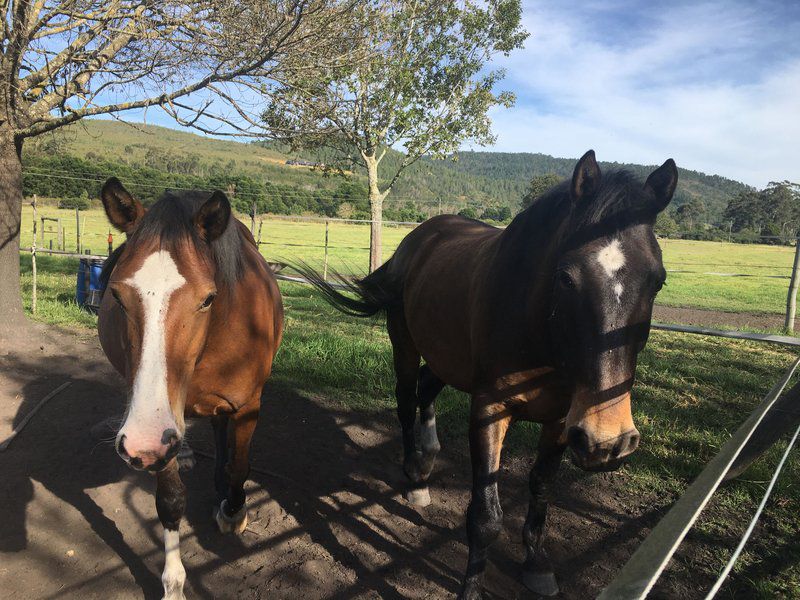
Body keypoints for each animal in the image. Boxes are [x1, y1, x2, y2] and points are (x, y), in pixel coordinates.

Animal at [97, 179, 284, 600]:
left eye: (208, 298)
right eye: (117, 296)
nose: (142, 442)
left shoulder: (248, 406)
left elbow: (240, 466)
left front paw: (232, 510)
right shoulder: (158, 428)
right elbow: (169, 501)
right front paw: (173, 583)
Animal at [296, 152, 680, 596]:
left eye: (658, 281)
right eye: (566, 277)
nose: (609, 441)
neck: (539, 331)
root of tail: (418, 239)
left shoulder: (562, 419)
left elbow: (541, 488)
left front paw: (536, 563)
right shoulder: (490, 409)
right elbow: (485, 517)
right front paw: (470, 589)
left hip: (448, 357)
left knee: (426, 389)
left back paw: (428, 456)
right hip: (405, 345)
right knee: (406, 400)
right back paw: (415, 478)